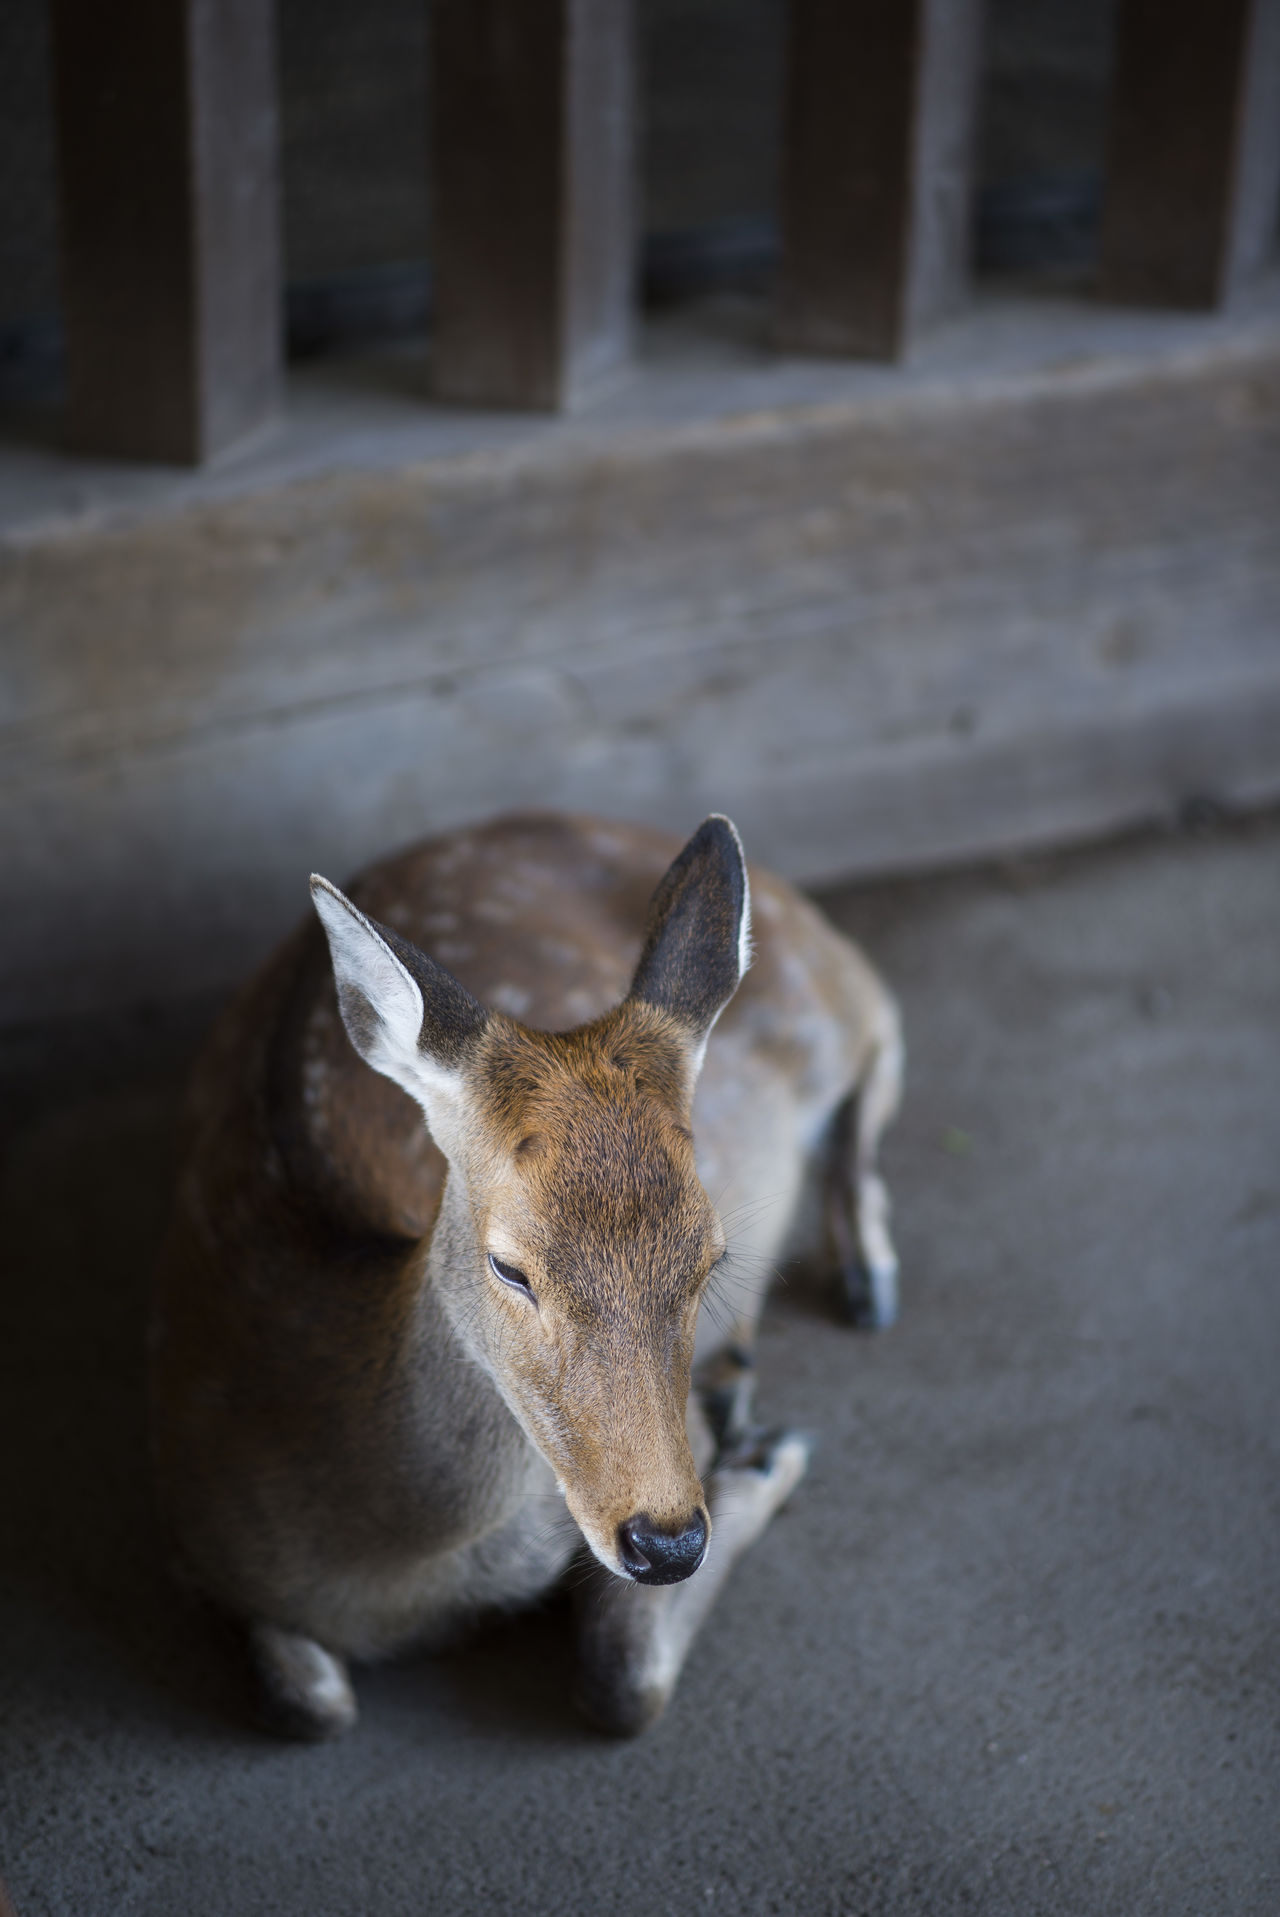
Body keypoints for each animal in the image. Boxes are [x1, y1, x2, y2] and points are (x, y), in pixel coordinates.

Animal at [150, 808, 900, 1740]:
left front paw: (766, 1456)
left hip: (834, 995)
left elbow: (622, 1679)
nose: (668, 1541)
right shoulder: (194, 1533)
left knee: (880, 1051)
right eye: (511, 1266)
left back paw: (864, 1284)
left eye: (711, 1254)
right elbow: (310, 1705)